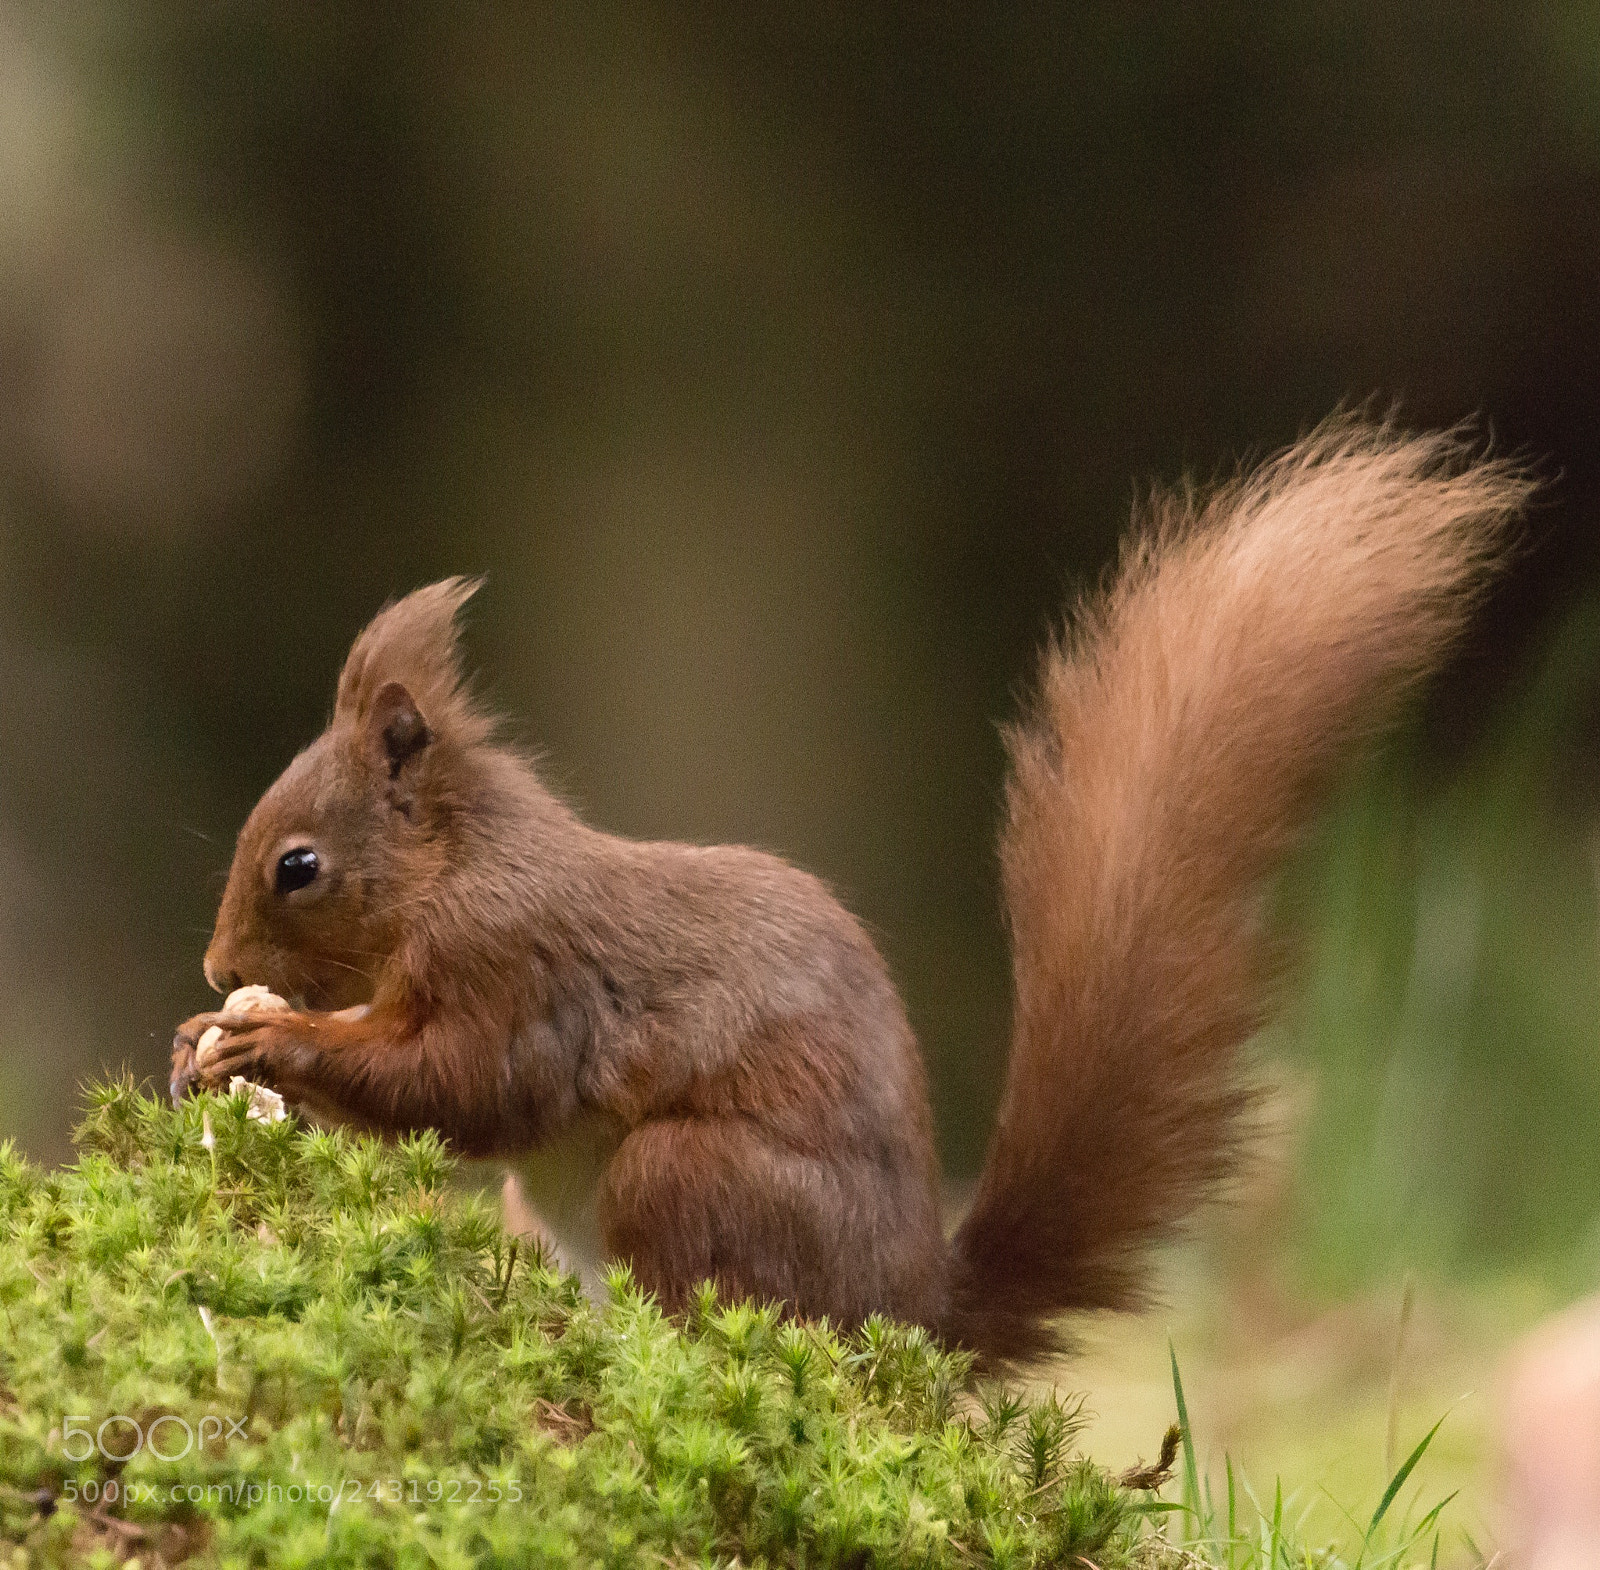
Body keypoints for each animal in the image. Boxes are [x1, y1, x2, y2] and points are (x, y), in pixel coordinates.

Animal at [171, 418, 1529, 1364]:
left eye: (298, 866)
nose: (212, 966)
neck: (457, 865)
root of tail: (912, 1314)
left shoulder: (520, 964)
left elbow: (465, 1083)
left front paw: (268, 1039)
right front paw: (200, 1036)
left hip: (692, 1177)